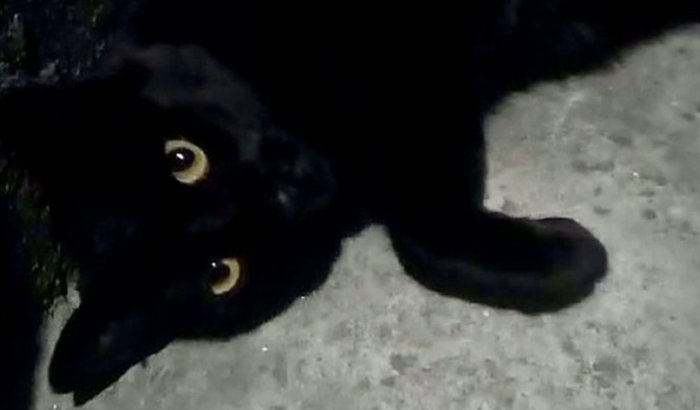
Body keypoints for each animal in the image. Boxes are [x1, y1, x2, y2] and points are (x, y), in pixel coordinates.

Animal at [0, 0, 698, 406]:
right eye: (222, 273)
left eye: (182, 158)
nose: (287, 195)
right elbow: (422, 233)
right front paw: (566, 257)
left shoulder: (407, 64)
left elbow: (422, 223)